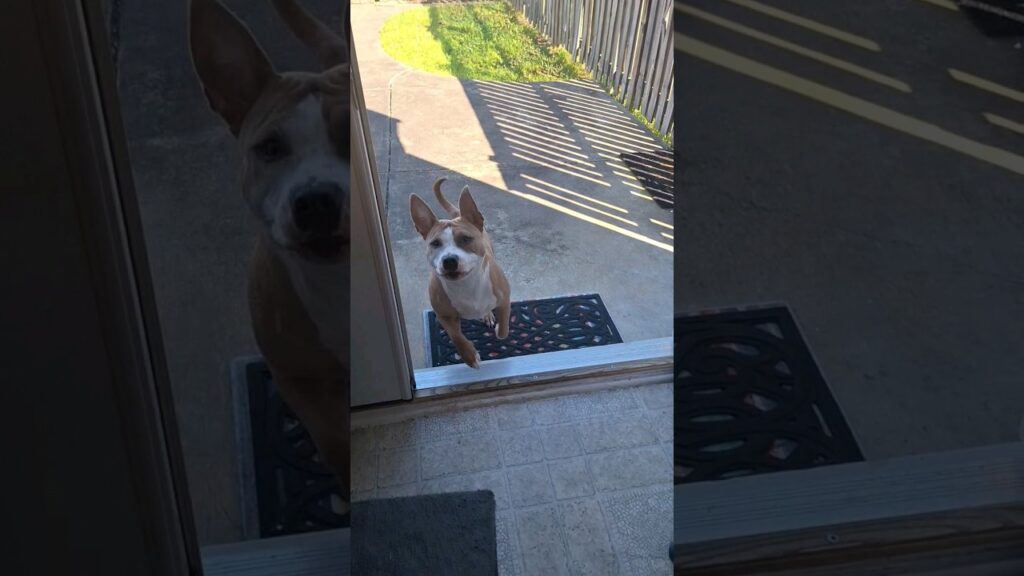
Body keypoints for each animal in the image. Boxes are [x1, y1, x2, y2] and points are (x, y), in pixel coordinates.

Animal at [403, 179, 507, 364]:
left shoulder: (505, 299)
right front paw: (470, 356)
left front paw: (498, 331)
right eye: (435, 243)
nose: (449, 260)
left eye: (466, 239)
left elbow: (503, 326)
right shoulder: (444, 315)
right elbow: (456, 336)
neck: (466, 285)